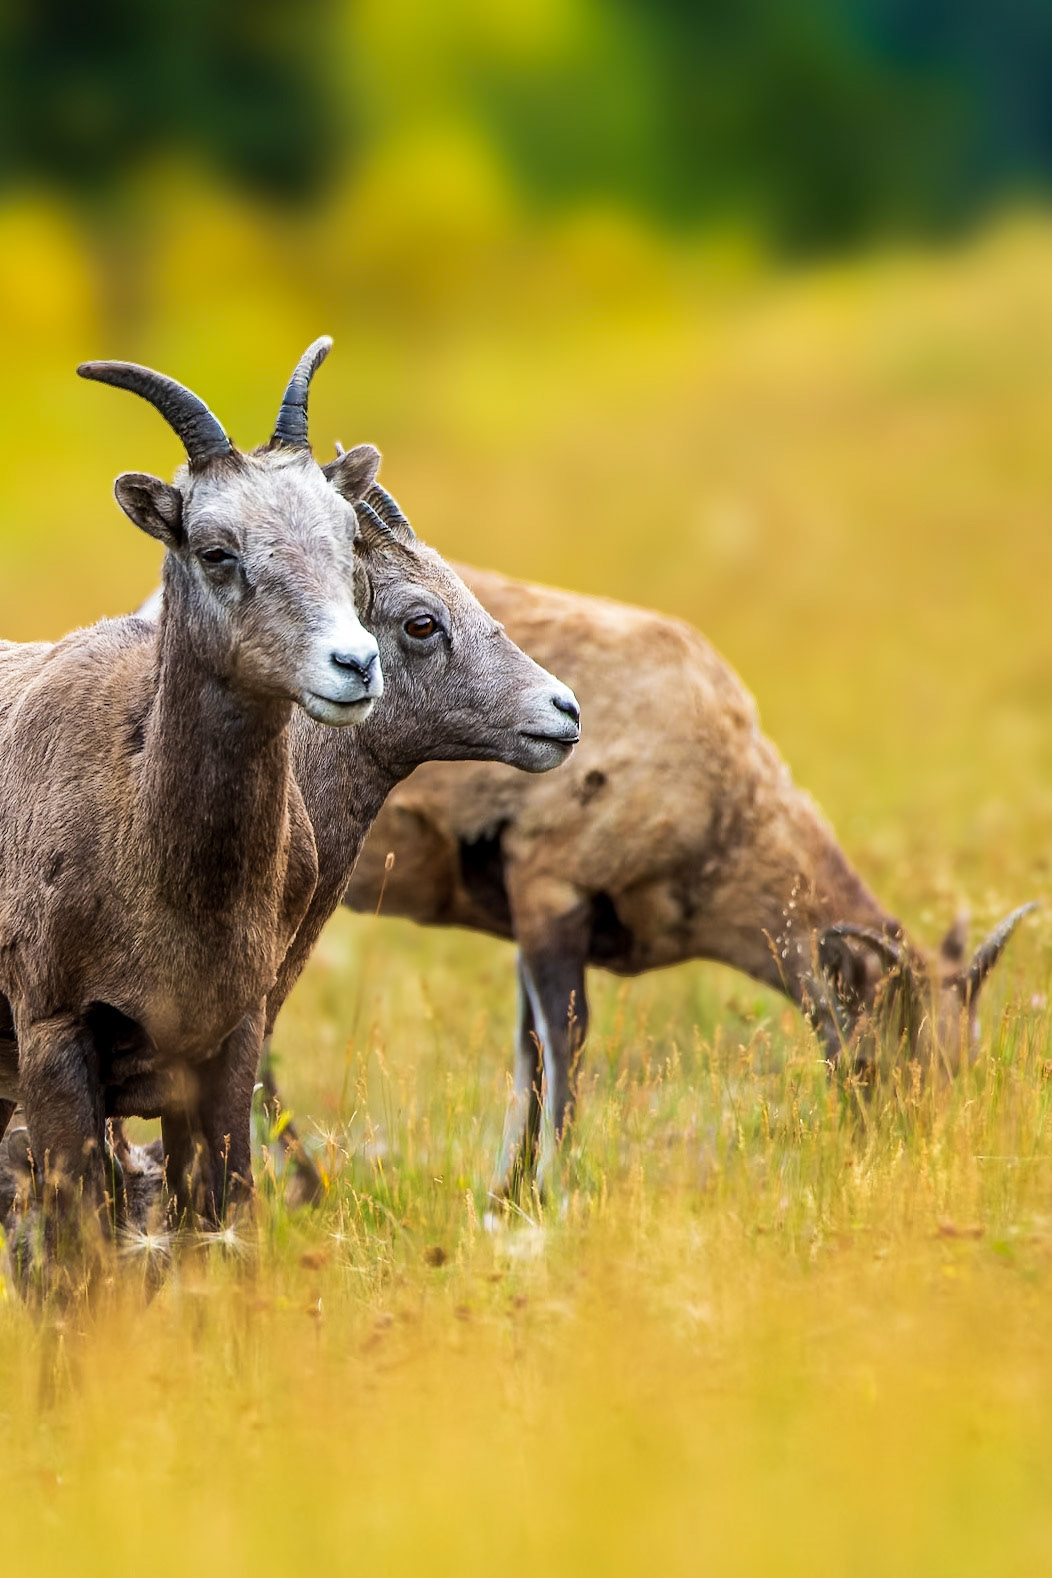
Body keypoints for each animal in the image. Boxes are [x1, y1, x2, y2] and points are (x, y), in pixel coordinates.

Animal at [0, 337, 385, 1256]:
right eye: (217, 551)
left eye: (347, 535)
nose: (356, 666)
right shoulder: (53, 1040)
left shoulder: (223, 1046)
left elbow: (216, 1221)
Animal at [340, 565, 1033, 1193]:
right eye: (872, 1063)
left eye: (962, 1065)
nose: (912, 1158)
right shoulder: (551, 890)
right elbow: (561, 1047)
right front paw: (548, 1194)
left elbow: (532, 1053)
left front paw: (506, 1199)